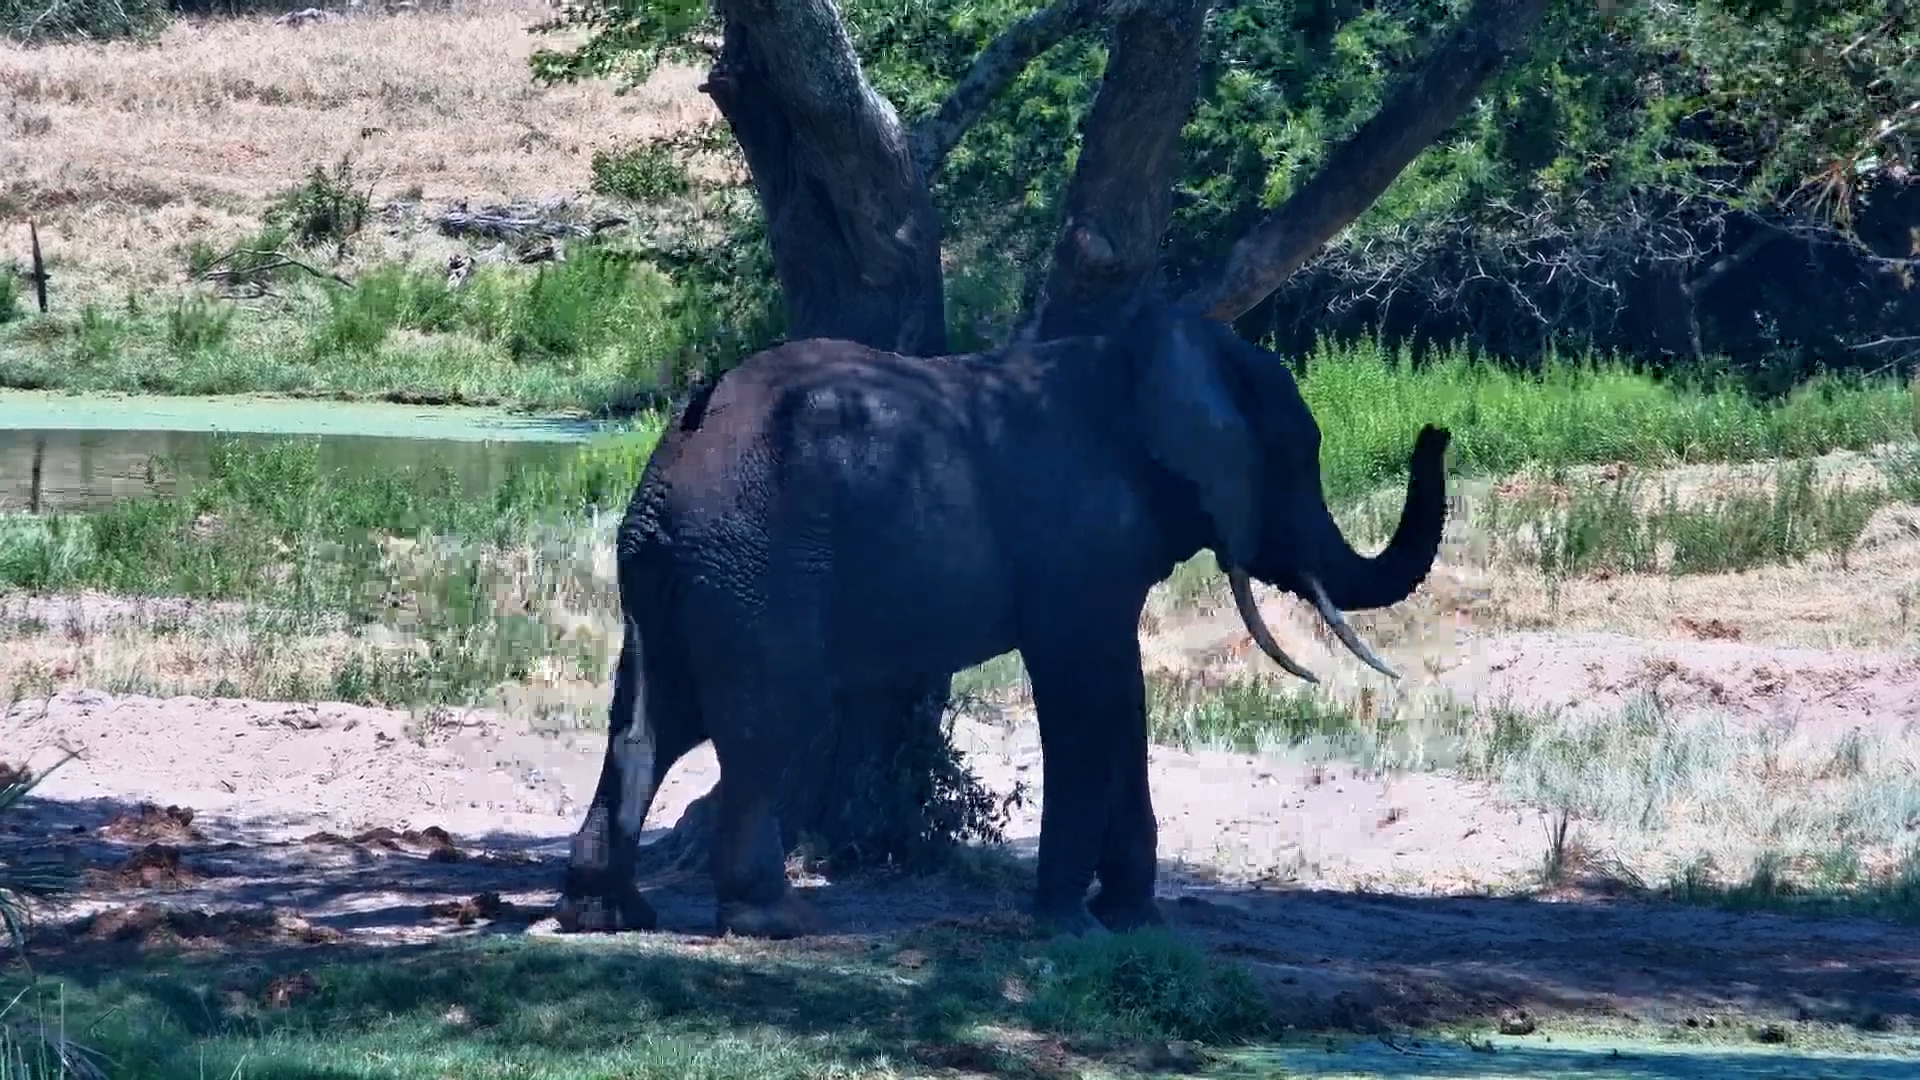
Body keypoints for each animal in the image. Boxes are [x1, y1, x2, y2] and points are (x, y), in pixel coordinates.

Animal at [552, 299, 1452, 940]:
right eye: (1299, 455)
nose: (1436, 429)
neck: (1139, 358)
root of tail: (679, 444)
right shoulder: (1075, 550)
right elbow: (1086, 696)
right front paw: (1070, 930)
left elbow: (1121, 700)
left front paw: (1132, 922)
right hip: (753, 566)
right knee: (771, 721)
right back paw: (773, 921)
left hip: (672, 571)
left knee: (652, 719)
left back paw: (609, 914)